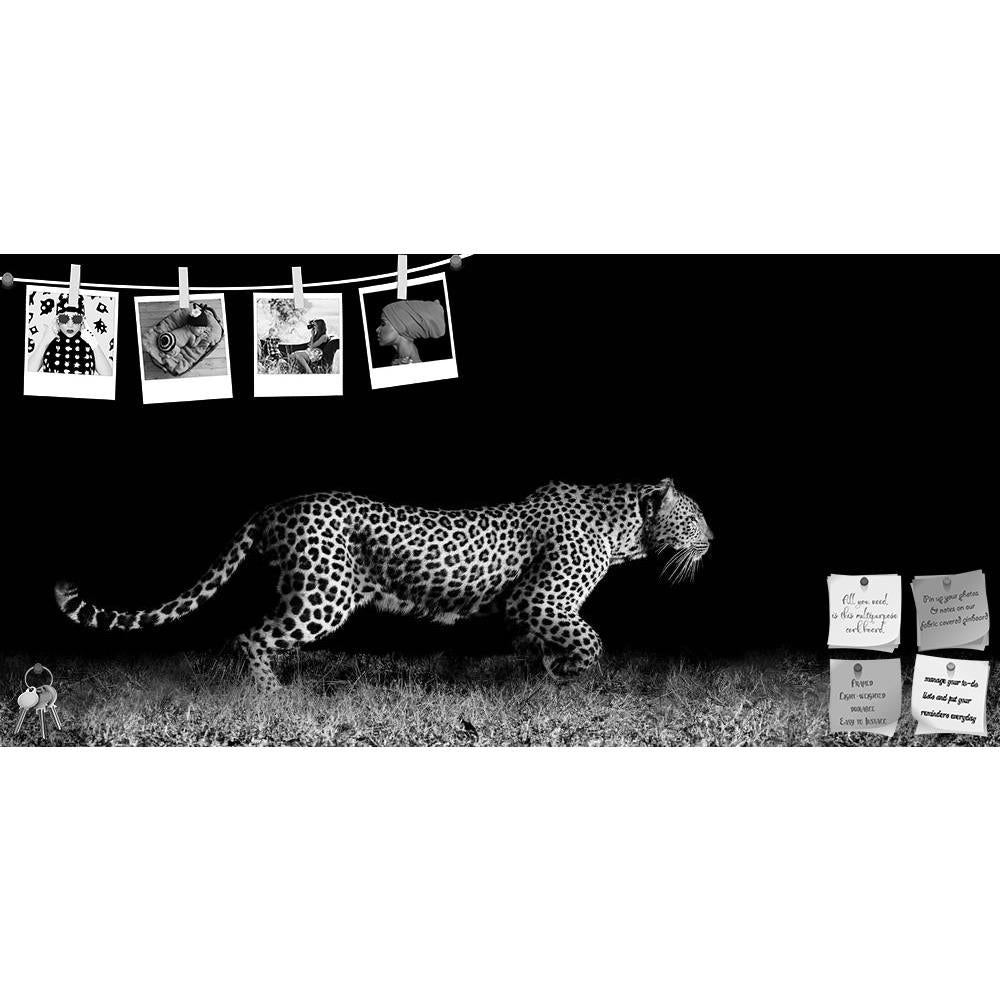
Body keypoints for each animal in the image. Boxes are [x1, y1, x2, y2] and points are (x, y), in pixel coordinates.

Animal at [54, 478, 713, 692]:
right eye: (697, 516)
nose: (715, 538)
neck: (625, 530)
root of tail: (273, 507)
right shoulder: (538, 599)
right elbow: (591, 640)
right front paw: (570, 674)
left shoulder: (525, 611)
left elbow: (542, 645)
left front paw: (546, 677)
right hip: (323, 595)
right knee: (249, 635)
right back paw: (272, 694)